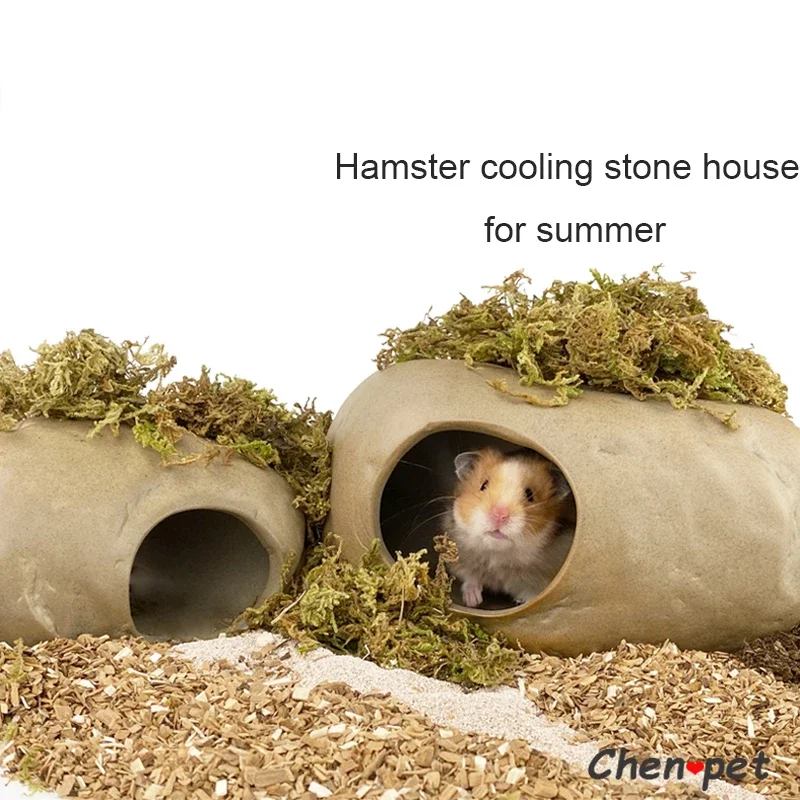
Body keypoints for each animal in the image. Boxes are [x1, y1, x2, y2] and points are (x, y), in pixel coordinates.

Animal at [446, 447, 575, 608]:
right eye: (483, 485)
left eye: (530, 495)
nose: (499, 515)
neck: (498, 555)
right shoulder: (461, 555)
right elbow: (470, 577)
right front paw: (473, 602)